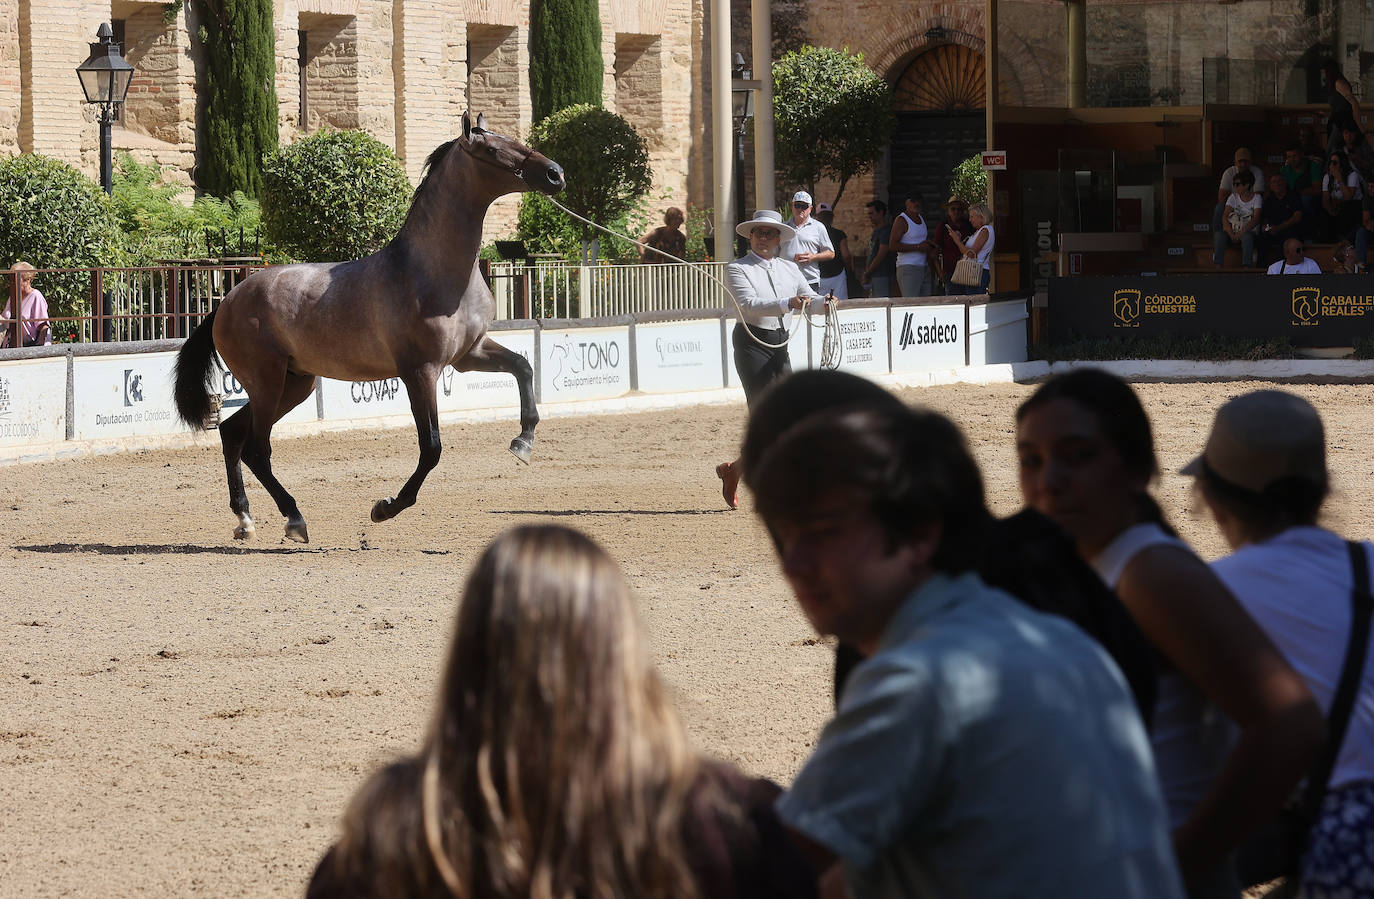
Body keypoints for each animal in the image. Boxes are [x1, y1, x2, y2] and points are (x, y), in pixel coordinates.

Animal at [174, 111, 565, 543]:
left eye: (513, 137)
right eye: (493, 149)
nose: (555, 174)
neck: (432, 272)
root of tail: (226, 302)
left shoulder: (468, 354)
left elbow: (523, 367)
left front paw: (523, 442)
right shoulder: (420, 371)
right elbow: (431, 447)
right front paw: (386, 507)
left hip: (293, 384)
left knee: (232, 434)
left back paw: (245, 519)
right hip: (267, 383)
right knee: (257, 449)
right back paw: (294, 519)